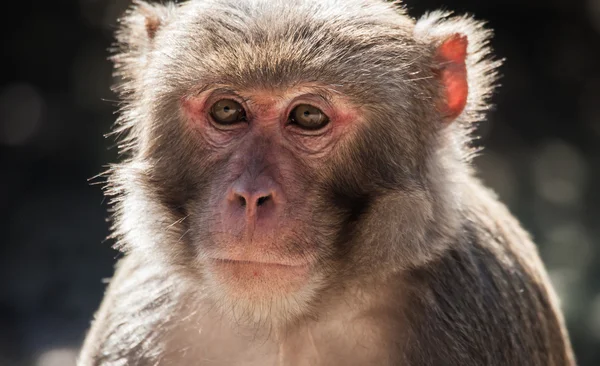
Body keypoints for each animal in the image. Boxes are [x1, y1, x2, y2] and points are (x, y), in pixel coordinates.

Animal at [77, 0, 576, 364]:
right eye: (227, 111)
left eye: (308, 116)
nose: (251, 196)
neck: (290, 321)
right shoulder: (144, 309)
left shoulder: (481, 299)